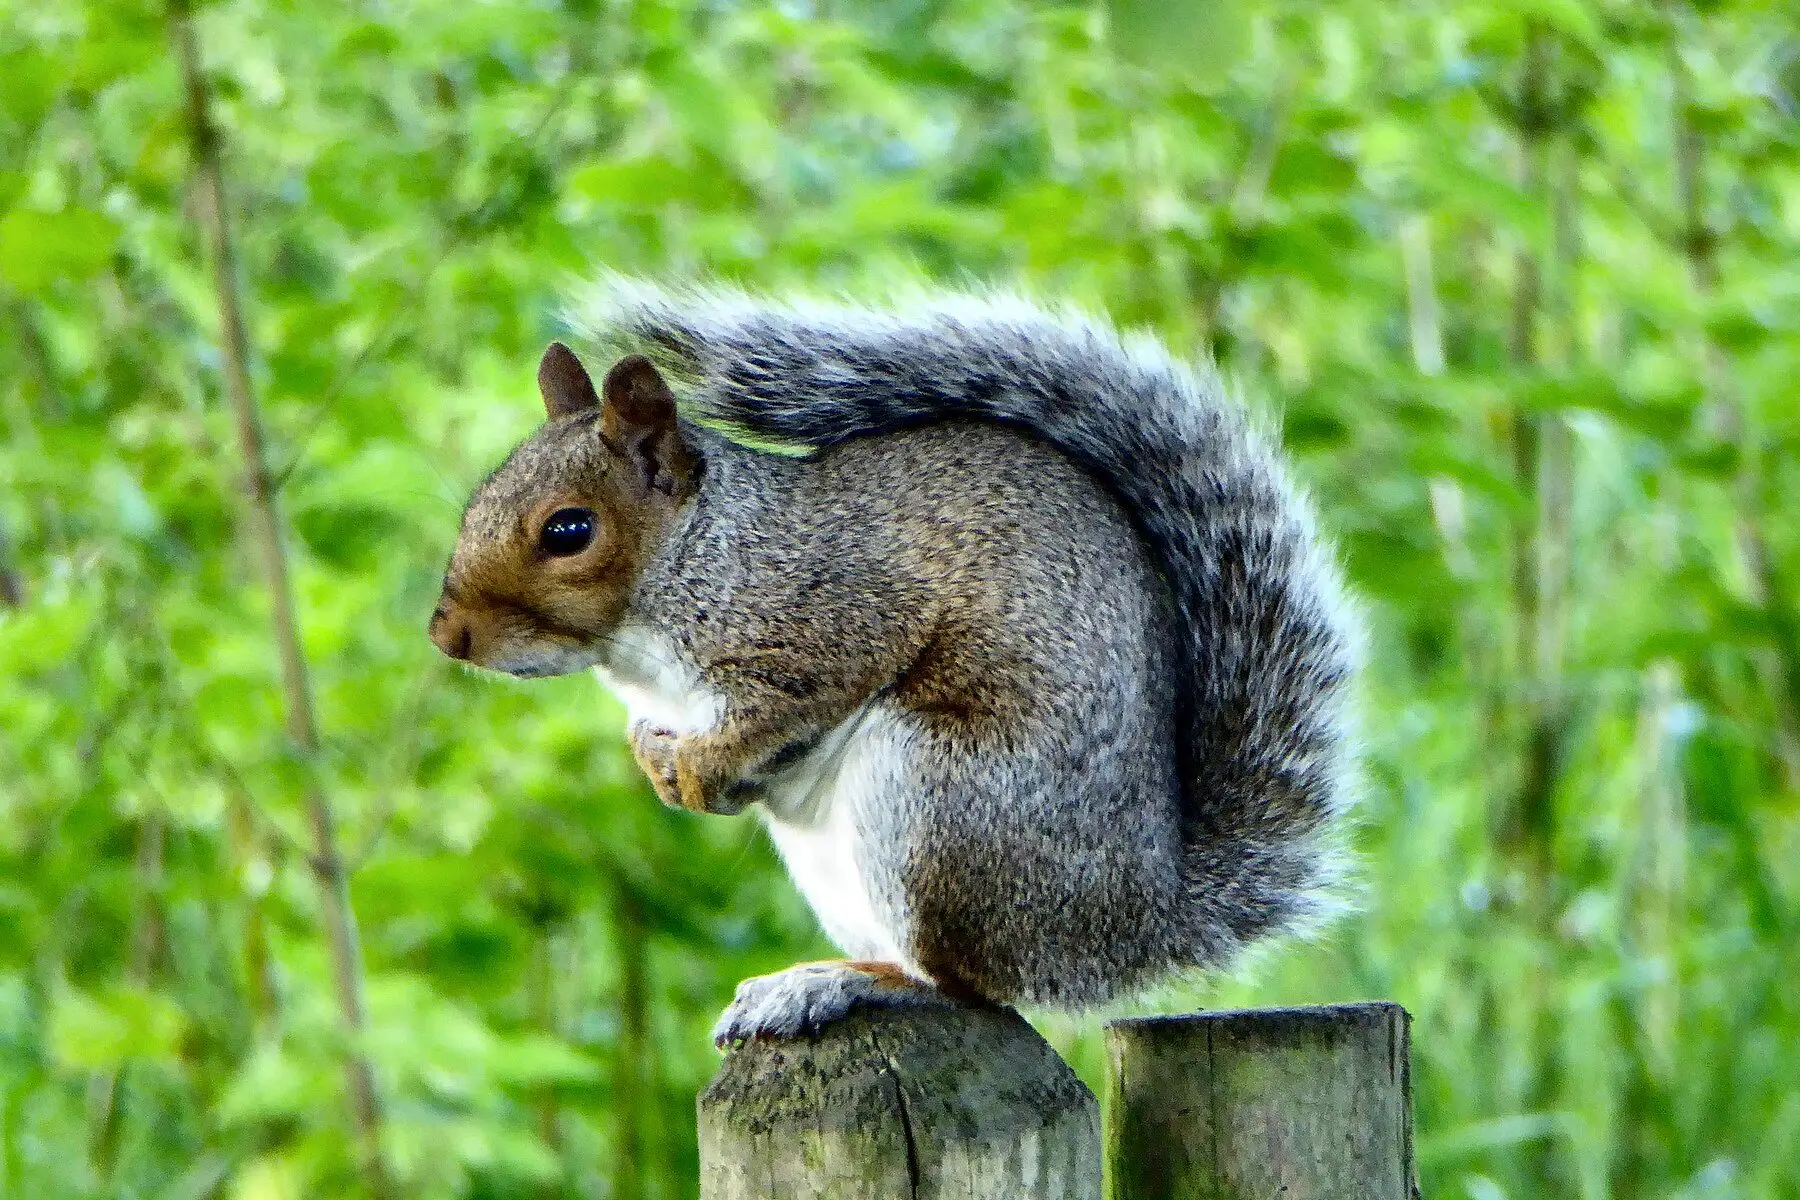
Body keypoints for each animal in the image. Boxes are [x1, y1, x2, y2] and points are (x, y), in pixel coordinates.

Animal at [430, 282, 1360, 1044]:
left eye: (569, 530)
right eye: (480, 497)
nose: (447, 635)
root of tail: (1130, 927)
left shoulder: (833, 621)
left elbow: (782, 708)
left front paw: (699, 769)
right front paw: (664, 767)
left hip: (937, 800)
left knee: (970, 987)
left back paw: (840, 984)